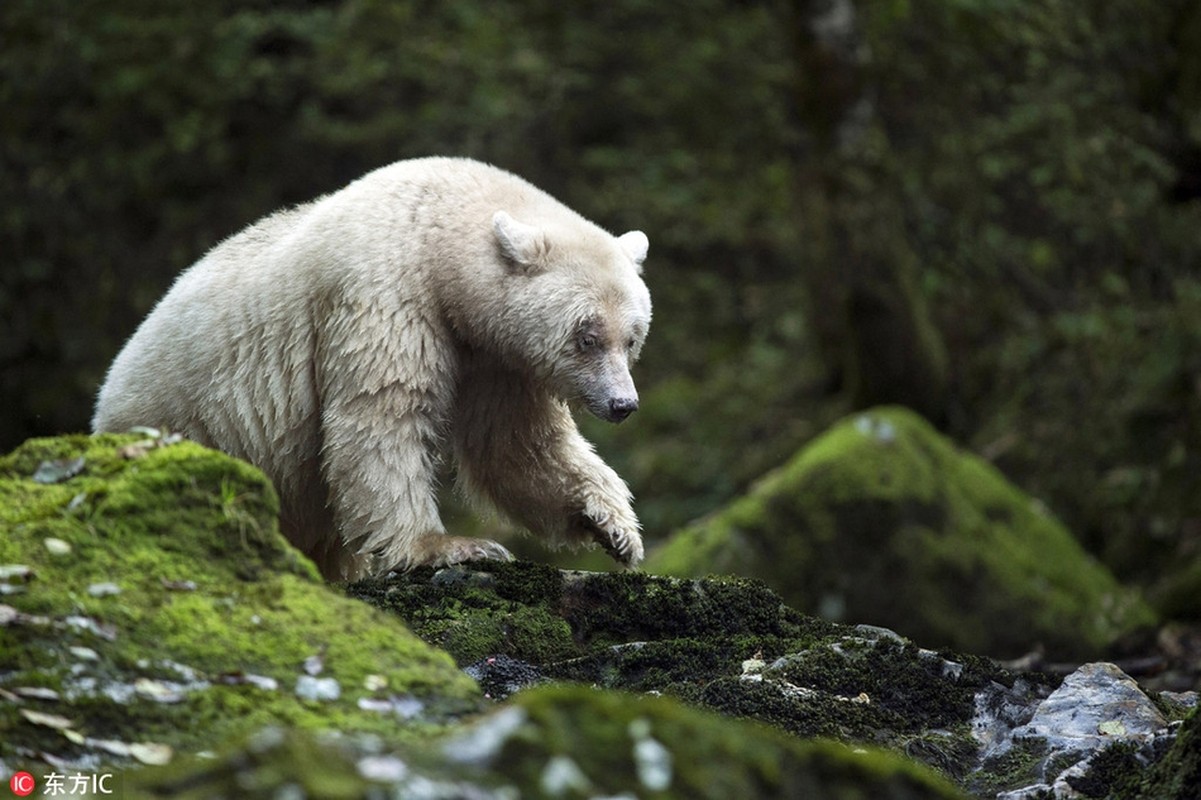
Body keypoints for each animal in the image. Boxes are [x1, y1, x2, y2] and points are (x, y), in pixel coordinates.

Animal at [92, 157, 653, 578]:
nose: (624, 404)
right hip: (191, 422)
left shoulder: (495, 357)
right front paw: (450, 546)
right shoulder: (384, 295)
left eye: (632, 337)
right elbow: (383, 415)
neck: (437, 232)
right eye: (586, 337)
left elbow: (515, 444)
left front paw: (613, 526)